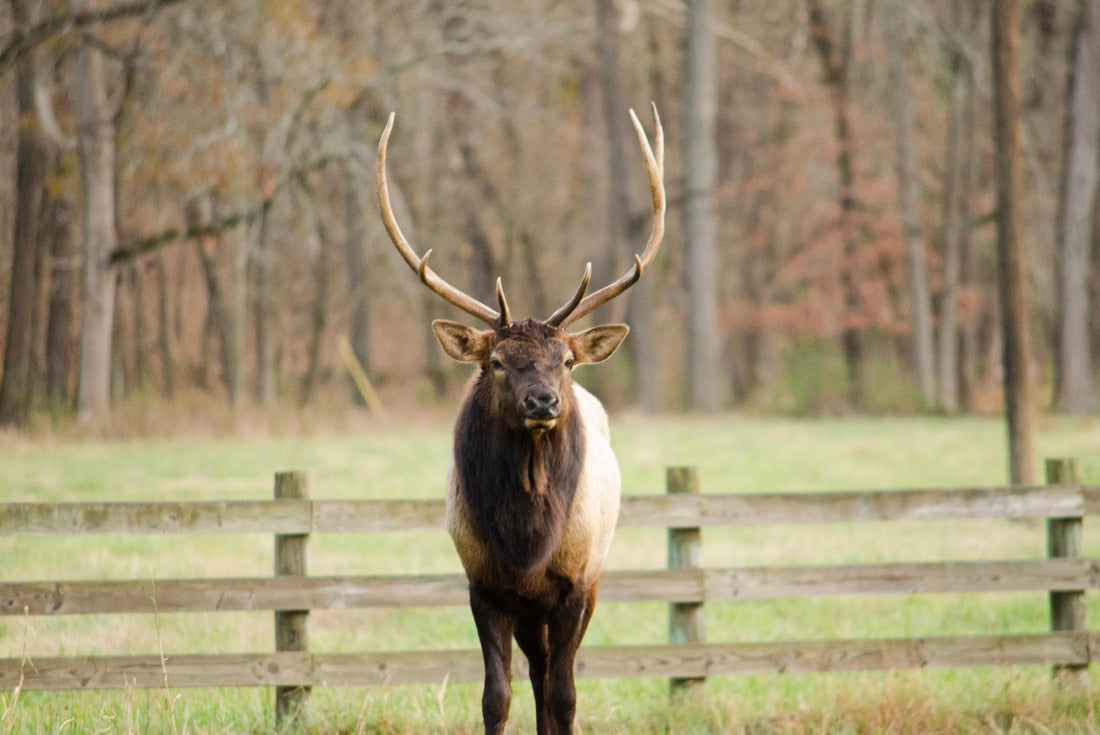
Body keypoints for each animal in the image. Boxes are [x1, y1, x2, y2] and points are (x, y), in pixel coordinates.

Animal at [376, 105, 664, 735]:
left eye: (566, 360)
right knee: (534, 673)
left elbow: (566, 696)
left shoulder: (576, 582)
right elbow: (497, 696)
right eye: (497, 362)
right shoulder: (484, 584)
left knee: (553, 676)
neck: (527, 540)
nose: (542, 403)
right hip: (529, 611)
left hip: (591, 579)